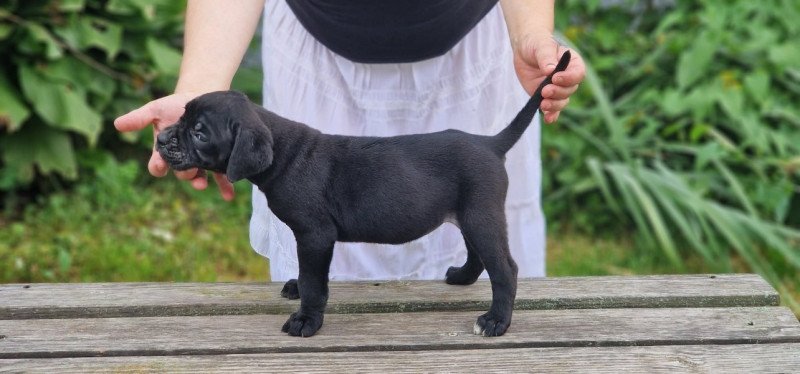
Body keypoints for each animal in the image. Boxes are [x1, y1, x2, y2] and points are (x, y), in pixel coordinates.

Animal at [155, 50, 568, 338]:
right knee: (478, 255)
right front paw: (296, 288)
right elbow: (308, 275)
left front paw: (306, 320)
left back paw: (496, 321)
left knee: (505, 268)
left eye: (199, 132)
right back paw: (463, 277)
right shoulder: (313, 239)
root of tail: (490, 143)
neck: (284, 153)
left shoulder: (315, 234)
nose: (160, 138)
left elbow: (315, 282)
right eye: (182, 116)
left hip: (481, 214)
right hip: (468, 213)